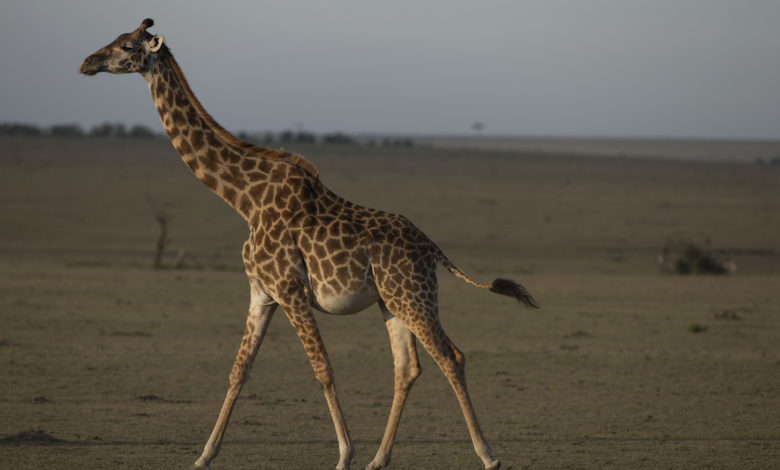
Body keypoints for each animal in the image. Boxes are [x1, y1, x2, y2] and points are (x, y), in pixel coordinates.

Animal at [80, 19, 538, 470]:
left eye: (126, 45)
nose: (87, 62)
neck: (244, 199)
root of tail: (432, 248)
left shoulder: (290, 290)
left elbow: (322, 369)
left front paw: (345, 455)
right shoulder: (261, 292)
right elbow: (239, 370)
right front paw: (204, 455)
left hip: (413, 296)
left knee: (450, 357)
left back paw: (487, 455)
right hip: (391, 301)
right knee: (407, 368)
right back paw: (379, 459)